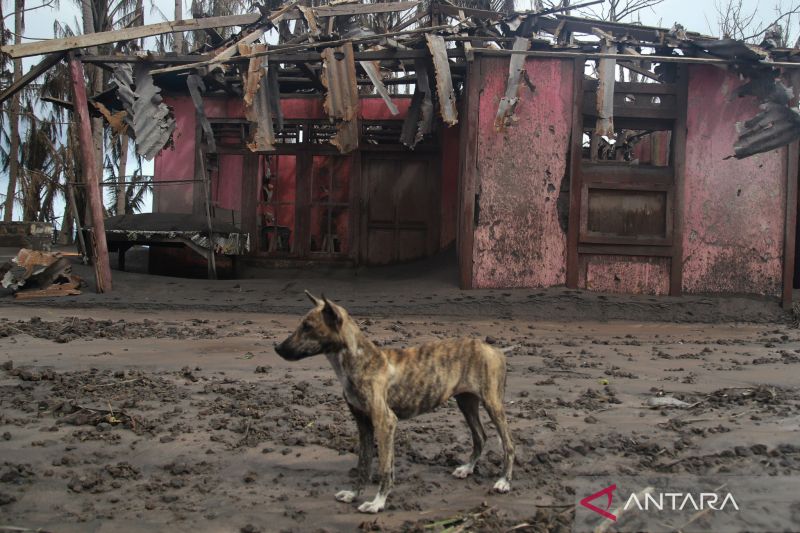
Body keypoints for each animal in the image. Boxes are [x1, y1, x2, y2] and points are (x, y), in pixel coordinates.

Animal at [272, 290, 516, 512]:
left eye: (308, 327)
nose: (277, 348)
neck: (359, 360)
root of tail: (494, 348)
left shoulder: (385, 422)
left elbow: (384, 467)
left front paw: (377, 503)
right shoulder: (363, 424)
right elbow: (363, 464)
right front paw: (354, 494)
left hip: (493, 404)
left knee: (508, 444)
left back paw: (504, 481)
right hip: (466, 402)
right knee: (480, 436)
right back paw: (467, 468)